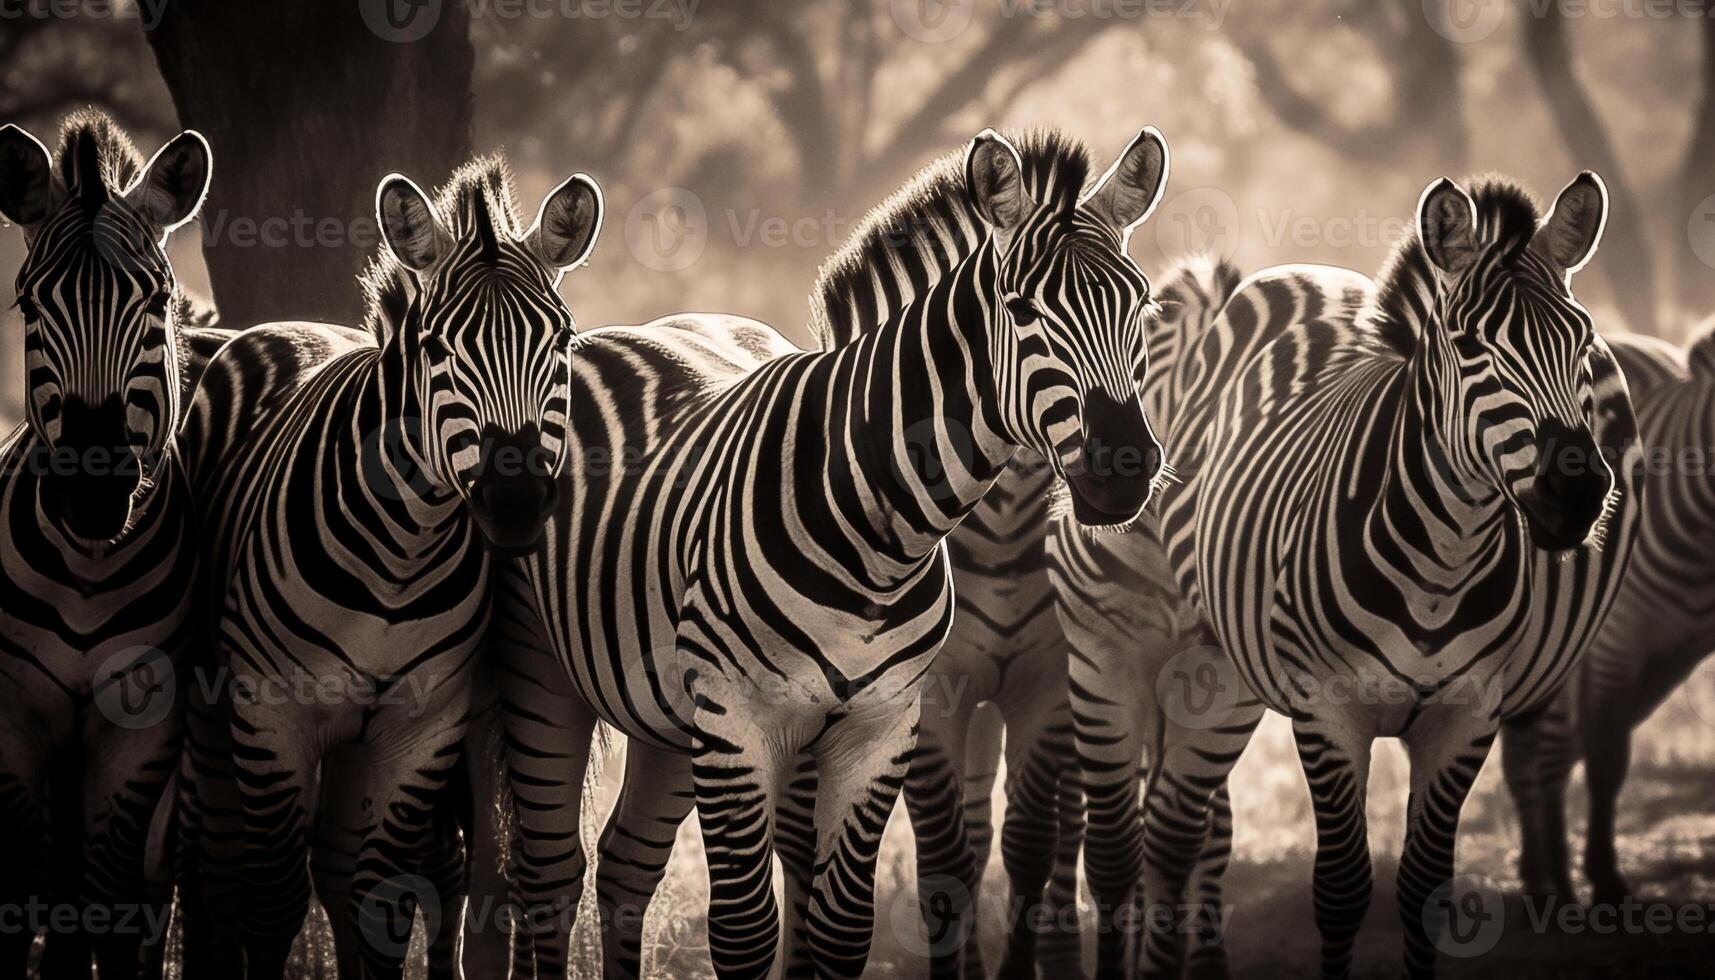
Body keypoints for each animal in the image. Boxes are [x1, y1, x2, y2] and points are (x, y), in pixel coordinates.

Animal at [174, 157, 603, 974]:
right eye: (437, 349)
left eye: (561, 341)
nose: (514, 503)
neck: (401, 554)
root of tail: (284, 324)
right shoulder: (272, 715)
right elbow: (271, 901)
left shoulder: (421, 725)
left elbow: (382, 902)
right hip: (217, 715)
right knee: (213, 866)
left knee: (341, 867)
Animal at [490, 130, 1173, 980]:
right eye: (1020, 311)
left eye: (1139, 304)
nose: (1124, 468)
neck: (880, 532)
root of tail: (616, 331)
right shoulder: (741, 725)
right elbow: (745, 930)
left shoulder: (882, 728)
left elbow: (845, 925)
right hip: (540, 672)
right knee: (550, 875)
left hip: (663, 715)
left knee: (623, 867)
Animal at [1056, 172, 1632, 974]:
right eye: (1469, 346)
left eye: (1579, 339)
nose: (1574, 490)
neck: (1442, 565)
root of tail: (1308, 273)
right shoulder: (1326, 711)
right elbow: (1339, 889)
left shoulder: (1465, 717)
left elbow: (1424, 890)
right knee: (1125, 844)